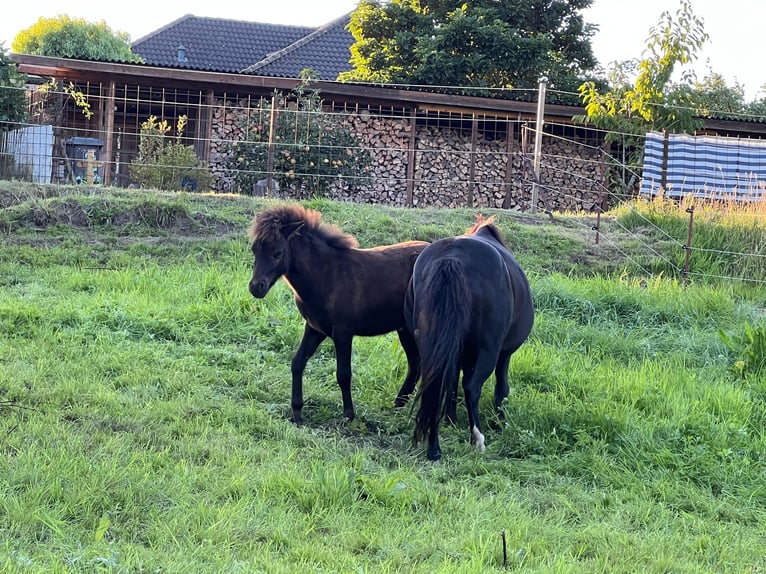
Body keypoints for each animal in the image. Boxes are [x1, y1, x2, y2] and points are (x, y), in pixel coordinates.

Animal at [248, 204, 428, 425]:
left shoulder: (343, 332)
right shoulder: (315, 328)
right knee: (415, 364)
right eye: (255, 250)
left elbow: (343, 374)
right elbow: (297, 363)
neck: (326, 275)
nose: (256, 287)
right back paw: (397, 406)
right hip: (405, 329)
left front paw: (349, 414)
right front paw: (297, 412)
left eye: (278, 253)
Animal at [405, 215, 534, 461]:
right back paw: (478, 438)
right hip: (488, 351)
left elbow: (451, 385)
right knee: (472, 386)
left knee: (435, 384)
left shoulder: (454, 354)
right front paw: (499, 422)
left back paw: (434, 448)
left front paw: (451, 420)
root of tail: (452, 258)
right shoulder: (504, 353)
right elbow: (501, 389)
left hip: (430, 345)